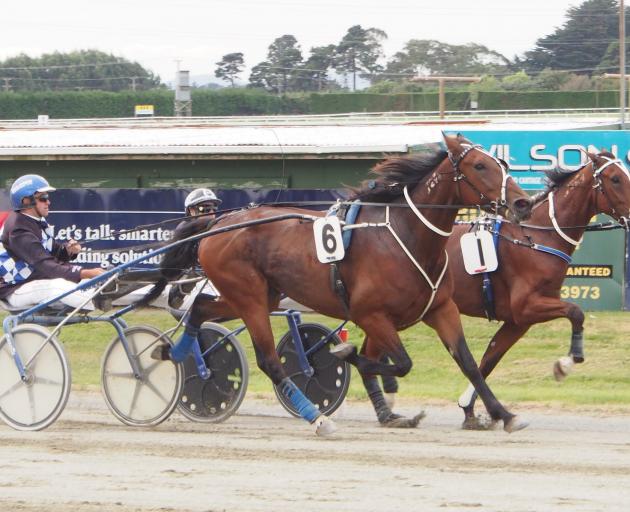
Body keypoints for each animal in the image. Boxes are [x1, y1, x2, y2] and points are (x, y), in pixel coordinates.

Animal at [144, 134, 532, 434]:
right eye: (479, 166)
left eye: (502, 163)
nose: (523, 202)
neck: (405, 236)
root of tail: (217, 223)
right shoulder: (370, 314)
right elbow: (399, 362)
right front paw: (346, 354)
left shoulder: (440, 308)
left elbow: (468, 362)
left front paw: (503, 414)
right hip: (248, 296)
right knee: (269, 360)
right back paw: (317, 418)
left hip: (259, 294)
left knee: (199, 309)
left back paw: (170, 353)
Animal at [376, 151, 630, 428]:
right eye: (616, 179)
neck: (535, 238)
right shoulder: (527, 307)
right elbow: (576, 312)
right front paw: (565, 364)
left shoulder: (518, 321)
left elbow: (490, 358)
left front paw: (470, 409)